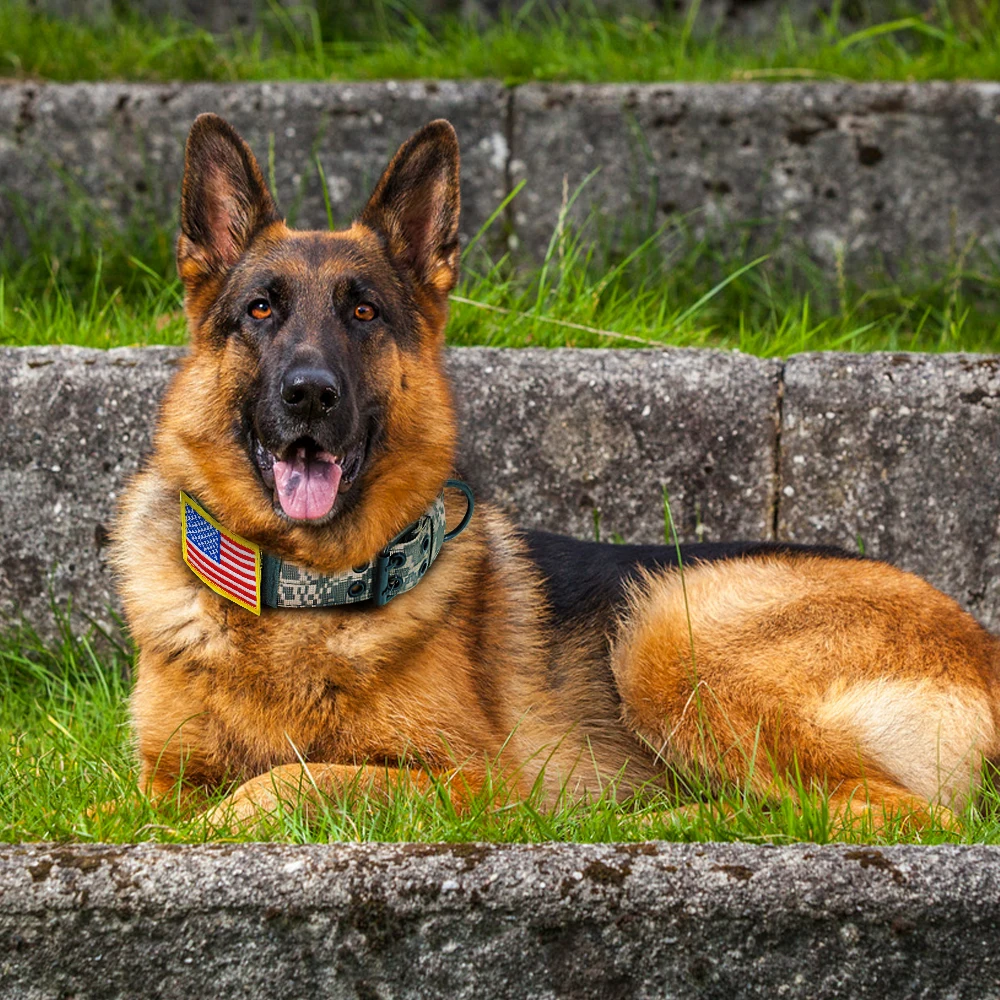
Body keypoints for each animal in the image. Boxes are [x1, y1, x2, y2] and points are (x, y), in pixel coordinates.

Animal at [113, 113, 1000, 832]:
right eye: (260, 309)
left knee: (889, 812)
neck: (300, 593)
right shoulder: (156, 774)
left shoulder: (470, 783)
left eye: (363, 312)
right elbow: (131, 799)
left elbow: (301, 779)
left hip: (668, 629)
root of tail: (982, 647)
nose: (309, 394)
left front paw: (218, 822)